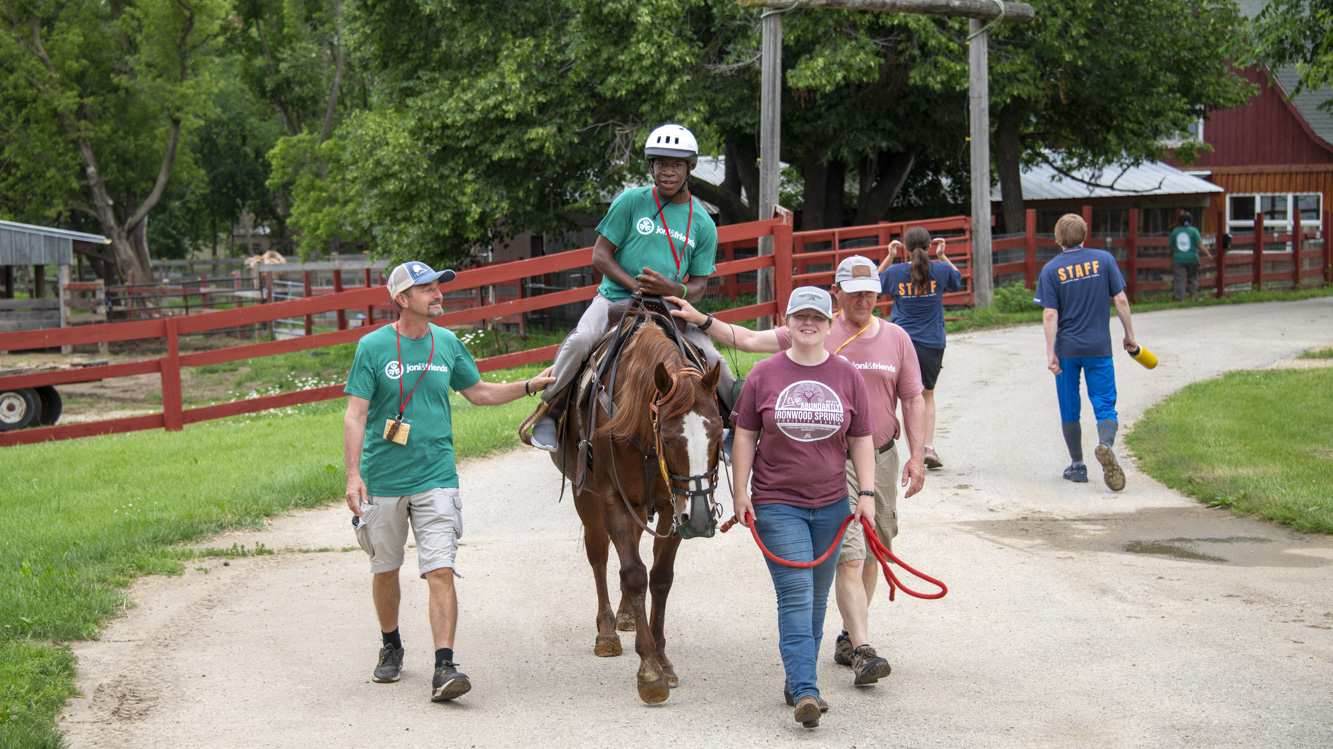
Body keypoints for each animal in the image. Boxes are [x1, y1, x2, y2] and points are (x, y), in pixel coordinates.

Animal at [549, 317, 725, 703]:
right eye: (670, 438)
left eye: (719, 432)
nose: (701, 519)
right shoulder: (613, 497)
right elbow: (632, 573)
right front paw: (649, 671)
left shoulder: (673, 506)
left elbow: (658, 578)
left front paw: (663, 659)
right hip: (587, 498)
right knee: (599, 557)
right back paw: (608, 630)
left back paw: (628, 614)